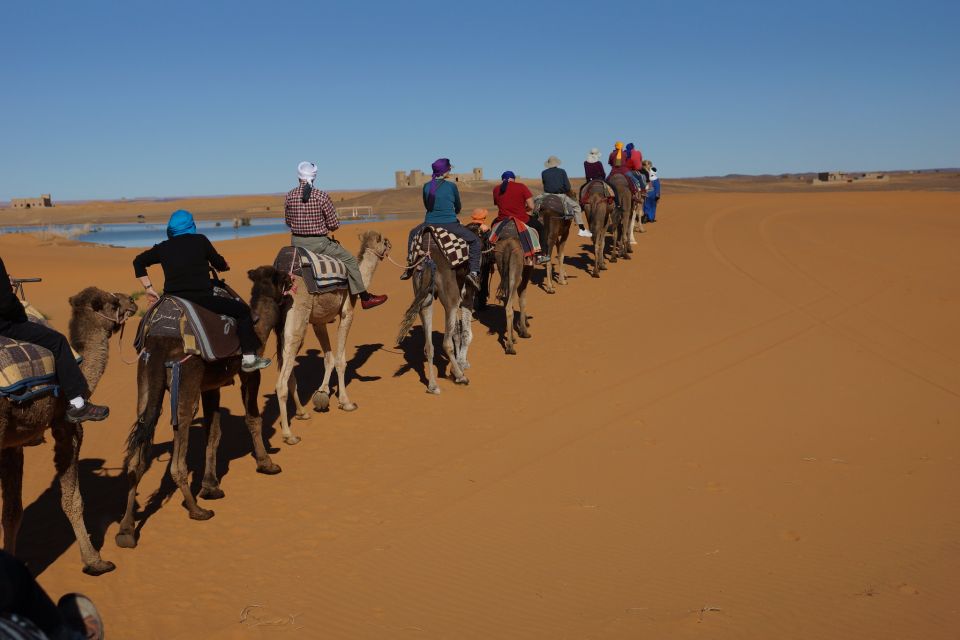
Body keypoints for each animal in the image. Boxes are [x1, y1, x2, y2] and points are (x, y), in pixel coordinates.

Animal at [0, 286, 137, 576]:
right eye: (111, 303)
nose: (132, 301)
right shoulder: (68, 426)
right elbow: (72, 499)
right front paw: (95, 561)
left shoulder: (13, 444)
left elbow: (12, 511)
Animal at [115, 268, 286, 548]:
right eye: (283, 276)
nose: (294, 281)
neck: (258, 326)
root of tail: (160, 340)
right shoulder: (248, 375)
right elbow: (253, 418)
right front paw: (266, 463)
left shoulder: (211, 386)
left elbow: (213, 433)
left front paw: (210, 486)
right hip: (187, 376)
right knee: (179, 441)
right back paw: (196, 510)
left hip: (145, 380)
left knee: (137, 453)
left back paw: (126, 530)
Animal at [274, 230, 390, 444]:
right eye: (384, 241)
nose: (390, 245)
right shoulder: (347, 312)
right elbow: (340, 361)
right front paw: (346, 402)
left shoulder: (319, 321)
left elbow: (328, 358)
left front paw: (323, 391)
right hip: (298, 317)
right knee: (281, 383)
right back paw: (289, 434)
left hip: (283, 329)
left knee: (289, 370)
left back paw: (302, 413)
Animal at [396, 228, 474, 392]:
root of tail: (428, 261)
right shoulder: (467, 294)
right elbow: (464, 332)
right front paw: (462, 364)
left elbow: (456, 332)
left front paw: (458, 365)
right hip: (450, 299)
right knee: (446, 343)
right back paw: (460, 377)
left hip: (424, 299)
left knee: (429, 345)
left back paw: (432, 385)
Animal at [496, 221, 532, 356]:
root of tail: (508, 244)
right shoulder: (527, 270)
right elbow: (522, 300)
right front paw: (524, 331)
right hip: (516, 271)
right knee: (509, 307)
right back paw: (510, 347)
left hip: (501, 263)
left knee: (508, 302)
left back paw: (511, 340)